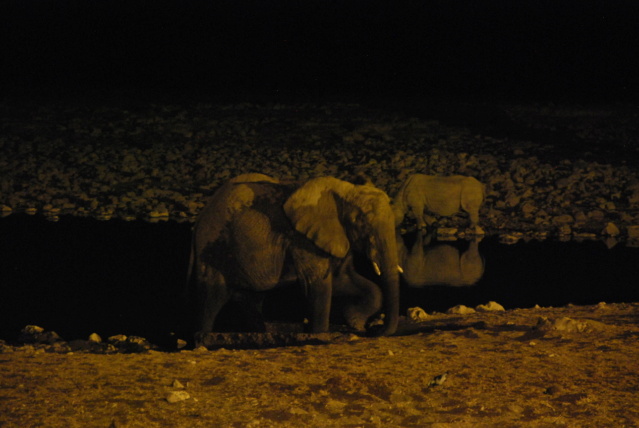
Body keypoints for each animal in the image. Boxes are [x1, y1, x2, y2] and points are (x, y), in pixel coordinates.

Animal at [186, 174, 400, 338]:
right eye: (360, 222)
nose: (373, 331)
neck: (343, 189)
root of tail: (199, 219)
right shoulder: (302, 239)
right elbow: (318, 285)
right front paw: (320, 335)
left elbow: (344, 280)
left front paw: (355, 320)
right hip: (213, 248)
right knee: (211, 299)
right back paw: (202, 339)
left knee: (251, 299)